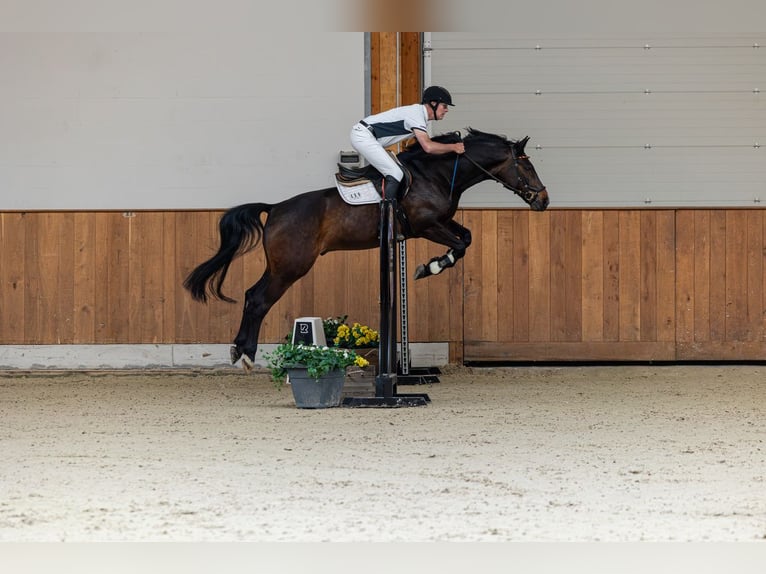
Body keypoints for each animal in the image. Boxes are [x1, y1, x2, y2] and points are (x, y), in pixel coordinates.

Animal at [183, 128, 549, 370]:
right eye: (527, 166)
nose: (544, 200)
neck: (438, 174)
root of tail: (274, 209)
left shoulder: (440, 223)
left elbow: (467, 237)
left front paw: (431, 265)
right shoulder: (428, 226)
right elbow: (459, 244)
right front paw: (429, 267)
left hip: (280, 266)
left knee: (250, 296)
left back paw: (239, 351)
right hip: (290, 266)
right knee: (259, 300)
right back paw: (246, 353)